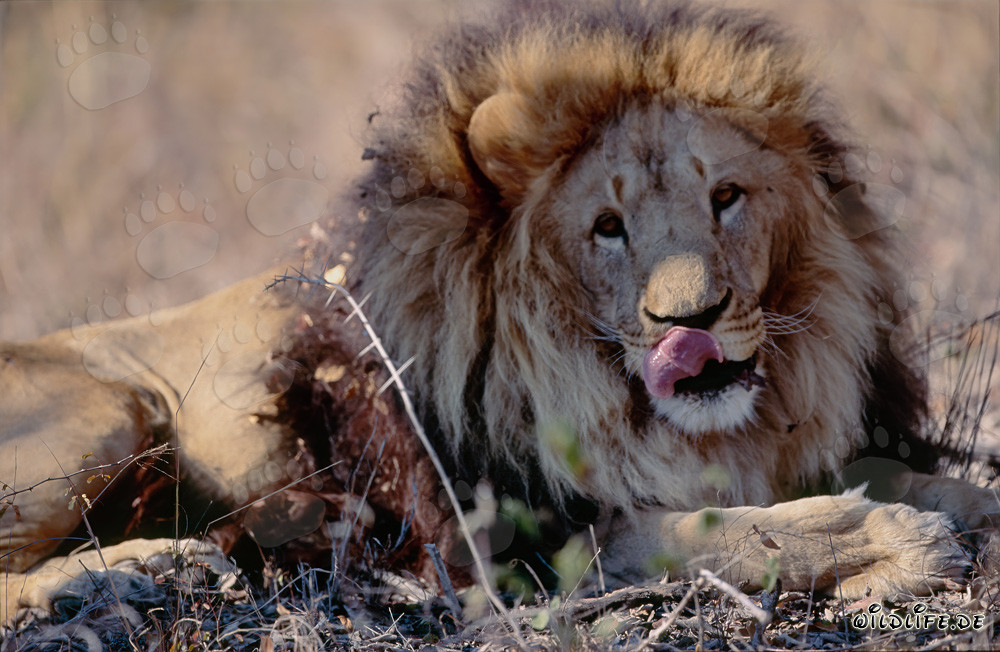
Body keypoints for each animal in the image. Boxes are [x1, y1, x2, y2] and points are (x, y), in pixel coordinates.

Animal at [2, 1, 998, 625]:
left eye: (726, 198)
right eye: (606, 228)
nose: (694, 321)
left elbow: (933, 483)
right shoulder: (531, 541)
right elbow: (731, 531)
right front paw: (897, 542)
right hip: (111, 406)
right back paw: (117, 579)